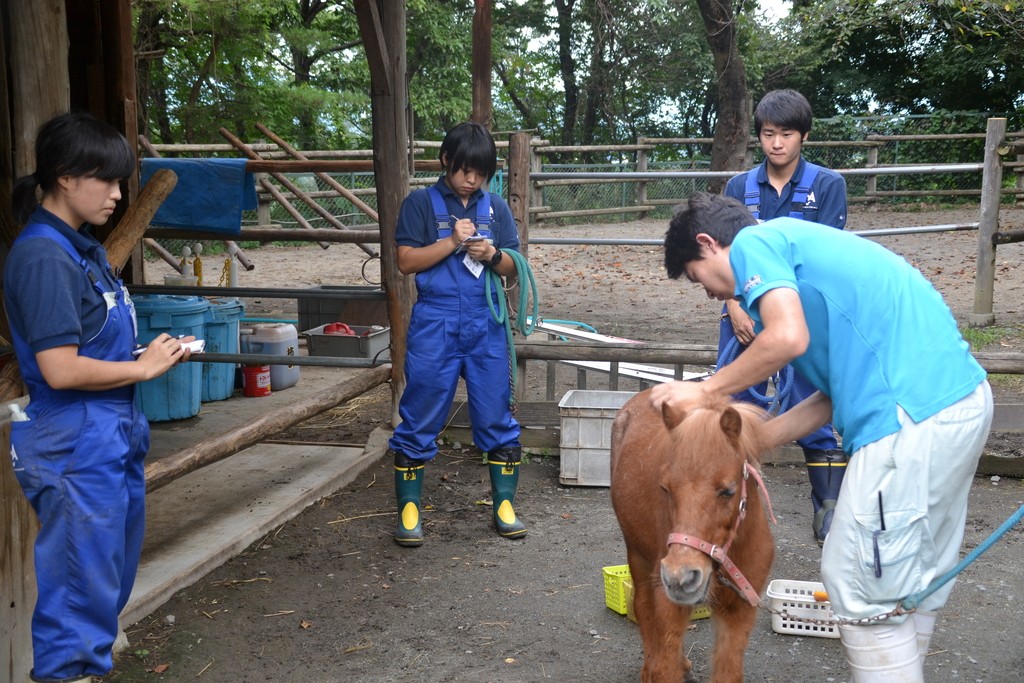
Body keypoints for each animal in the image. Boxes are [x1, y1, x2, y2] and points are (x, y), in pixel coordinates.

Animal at [606, 389, 774, 683]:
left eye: (728, 490)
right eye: (665, 488)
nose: (679, 577)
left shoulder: (739, 613)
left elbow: (728, 672)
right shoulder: (668, 604)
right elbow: (664, 666)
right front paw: (655, 669)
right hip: (639, 557)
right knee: (643, 608)